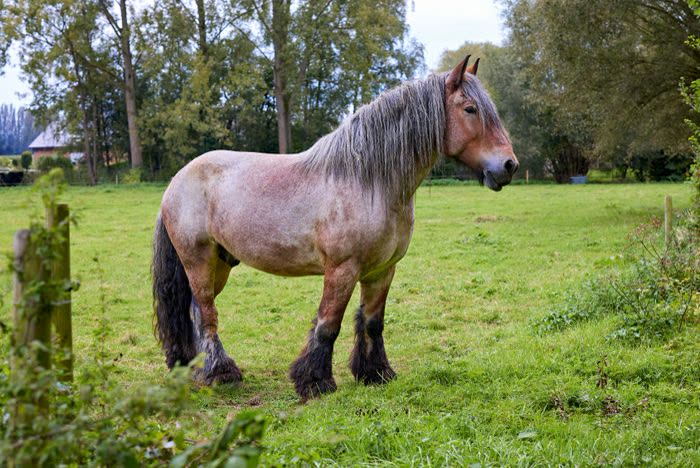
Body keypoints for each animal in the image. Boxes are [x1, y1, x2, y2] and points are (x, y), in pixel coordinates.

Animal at [152, 55, 518, 400]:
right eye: (470, 109)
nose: (509, 166)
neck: (368, 182)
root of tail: (177, 180)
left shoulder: (382, 270)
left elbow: (372, 322)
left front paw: (375, 373)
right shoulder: (342, 269)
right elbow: (328, 324)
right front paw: (315, 382)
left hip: (221, 264)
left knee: (193, 311)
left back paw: (191, 366)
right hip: (198, 261)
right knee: (206, 314)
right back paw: (221, 373)